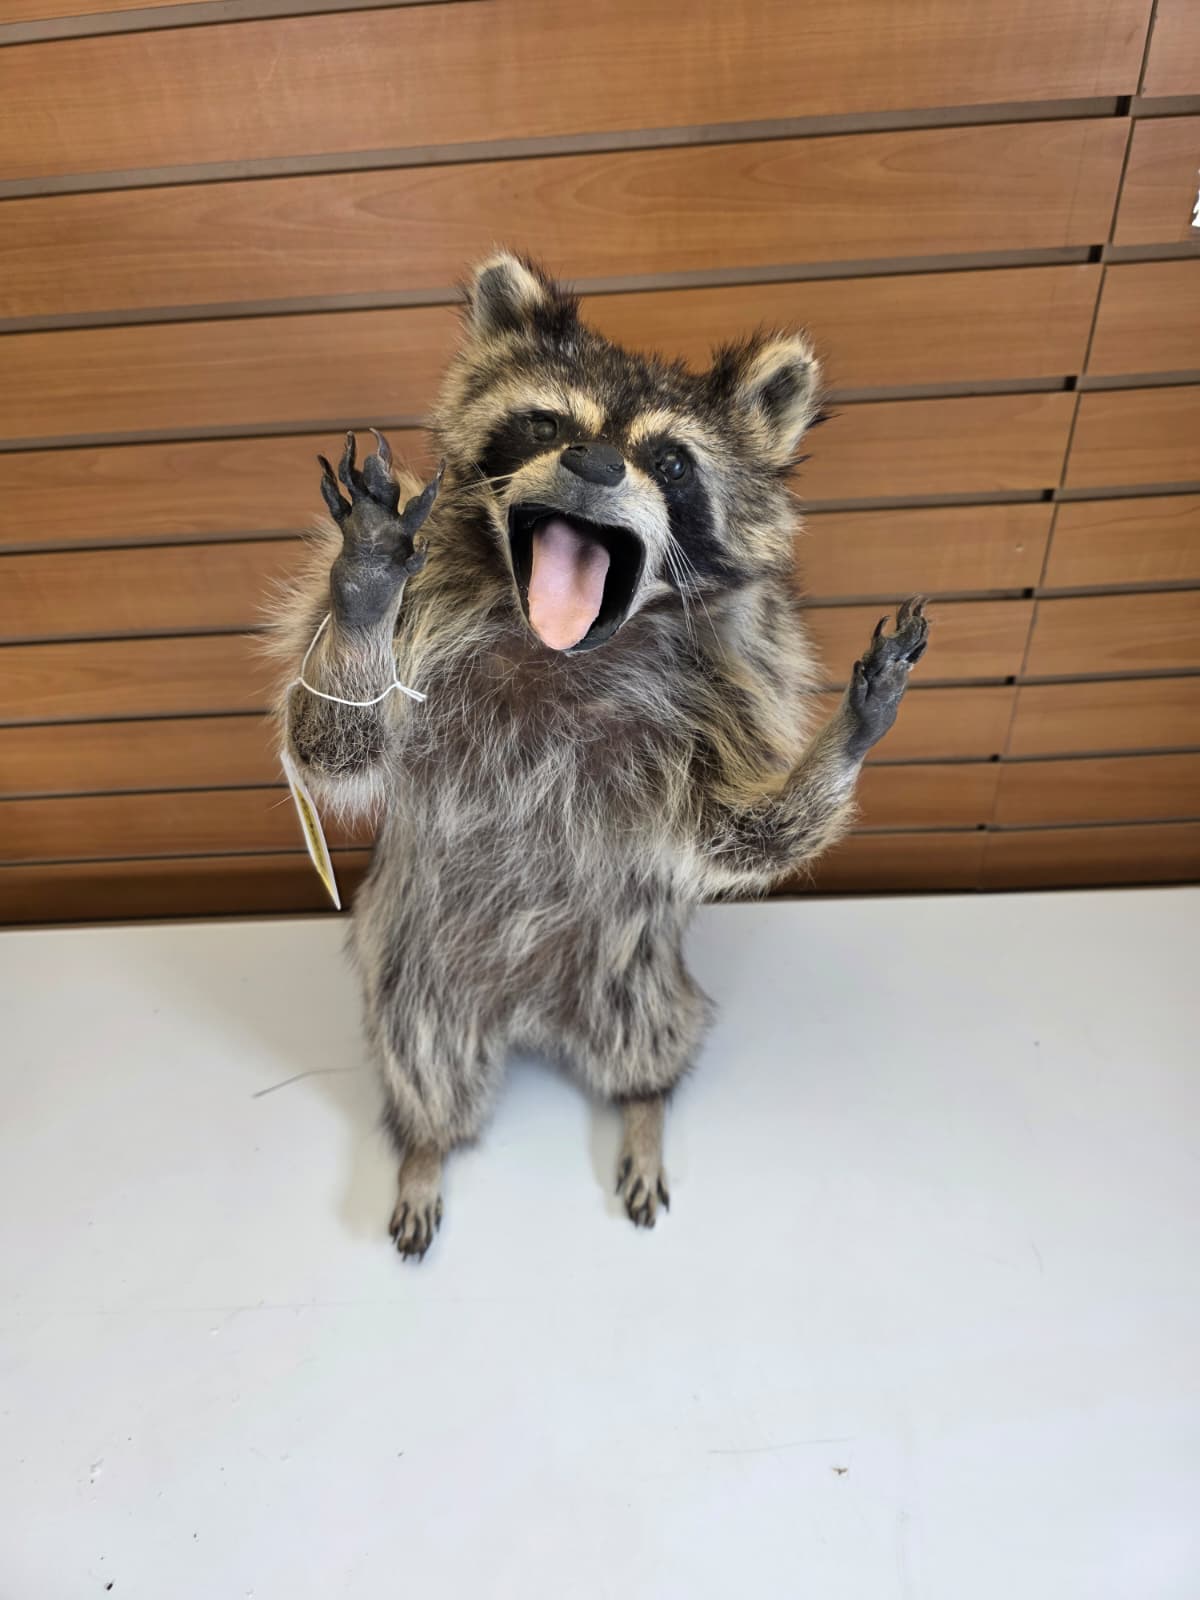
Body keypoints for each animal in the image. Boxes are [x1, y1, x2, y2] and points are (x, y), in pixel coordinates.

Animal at [272, 251, 928, 1258]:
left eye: (671, 461)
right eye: (548, 423)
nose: (594, 460)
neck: (559, 650)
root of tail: (531, 1012)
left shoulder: (732, 687)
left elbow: (739, 833)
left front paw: (841, 743)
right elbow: (331, 744)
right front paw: (363, 595)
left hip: (635, 970)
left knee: (652, 1040)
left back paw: (644, 1107)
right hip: (417, 979)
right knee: (422, 1062)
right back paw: (424, 1146)